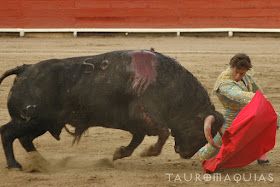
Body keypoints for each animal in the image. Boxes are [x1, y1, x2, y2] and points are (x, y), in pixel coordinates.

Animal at [0, 50, 223, 169]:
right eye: (200, 132)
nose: (185, 154)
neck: (170, 84)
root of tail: (25, 69)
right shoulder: (145, 116)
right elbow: (163, 133)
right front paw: (148, 152)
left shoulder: (138, 124)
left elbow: (138, 139)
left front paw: (119, 153)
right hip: (32, 120)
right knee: (7, 132)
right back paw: (14, 165)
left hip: (42, 123)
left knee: (25, 139)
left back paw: (41, 163)